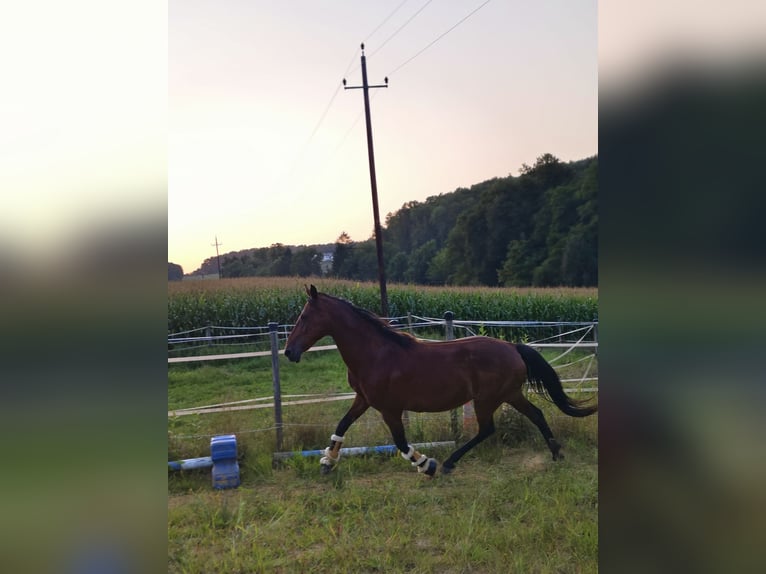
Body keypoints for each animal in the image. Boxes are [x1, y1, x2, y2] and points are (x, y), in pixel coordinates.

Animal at [284, 285, 597, 477]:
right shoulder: (364, 399)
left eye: (305, 316)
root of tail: (513, 347)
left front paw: (427, 465)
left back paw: (447, 463)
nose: (289, 352)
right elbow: (341, 426)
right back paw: (556, 453)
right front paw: (327, 462)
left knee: (488, 429)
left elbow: (401, 443)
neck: (375, 353)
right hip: (509, 394)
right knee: (536, 414)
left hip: (487, 399)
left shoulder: (389, 409)